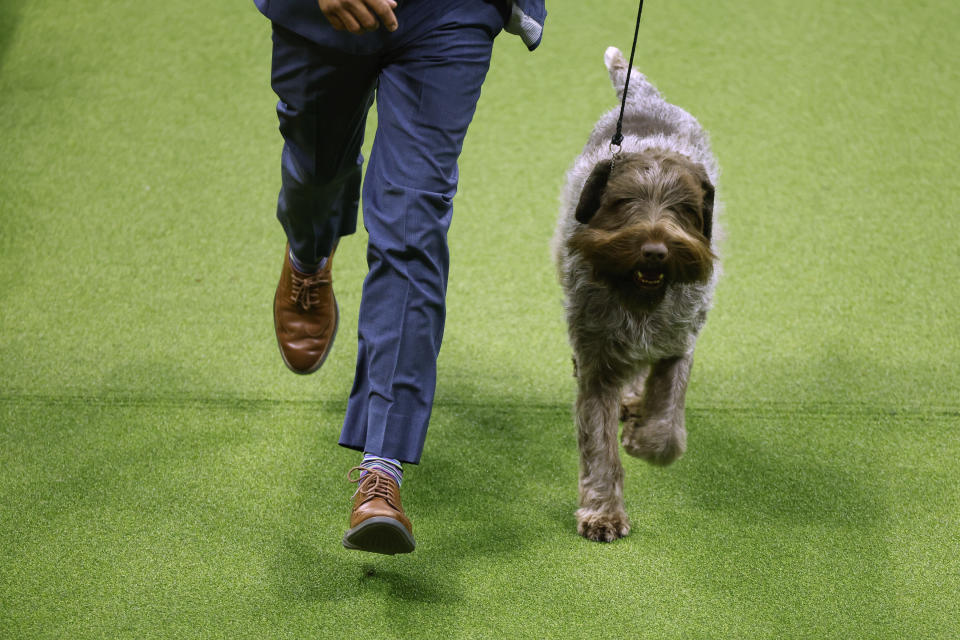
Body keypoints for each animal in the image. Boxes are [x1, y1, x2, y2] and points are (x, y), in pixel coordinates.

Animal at [556, 47, 720, 544]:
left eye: (684, 208)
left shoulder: (677, 344)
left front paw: (644, 438)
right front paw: (603, 512)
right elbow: (598, 444)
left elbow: (667, 423)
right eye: (624, 200)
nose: (655, 251)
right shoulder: (598, 362)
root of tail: (648, 101)